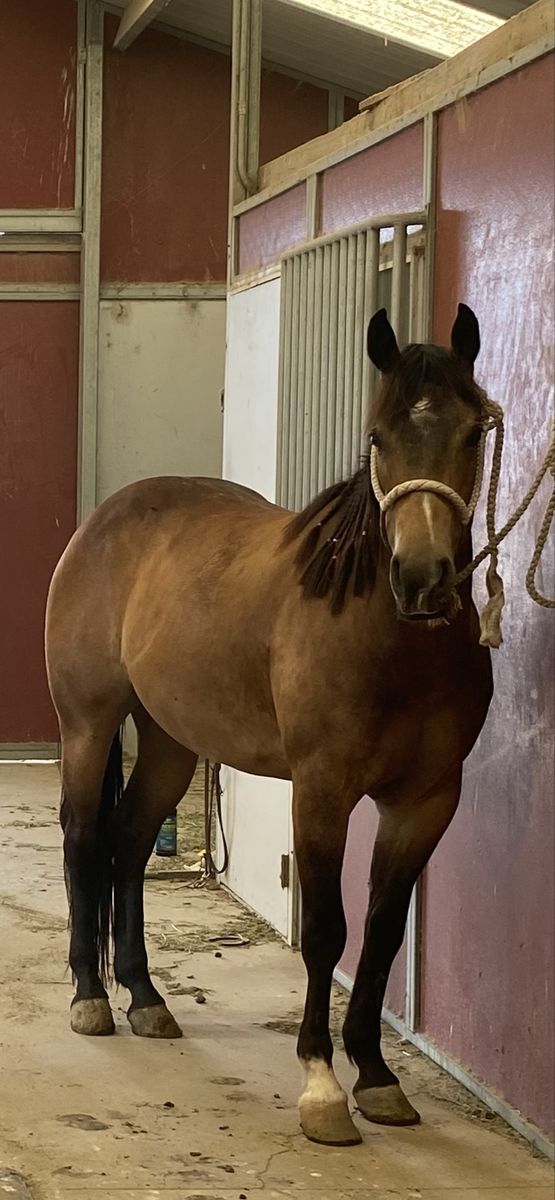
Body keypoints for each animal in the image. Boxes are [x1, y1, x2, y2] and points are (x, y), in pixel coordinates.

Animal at [45, 303, 493, 1147]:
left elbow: (382, 935)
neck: (387, 640)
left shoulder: (426, 803)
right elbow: (325, 931)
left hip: (170, 741)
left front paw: (377, 1077)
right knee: (85, 838)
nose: (422, 580)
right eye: (376, 436)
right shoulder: (320, 791)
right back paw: (90, 996)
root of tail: (106, 518)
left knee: (128, 843)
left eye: (474, 430)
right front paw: (321, 1086)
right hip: (87, 724)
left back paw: (145, 998)